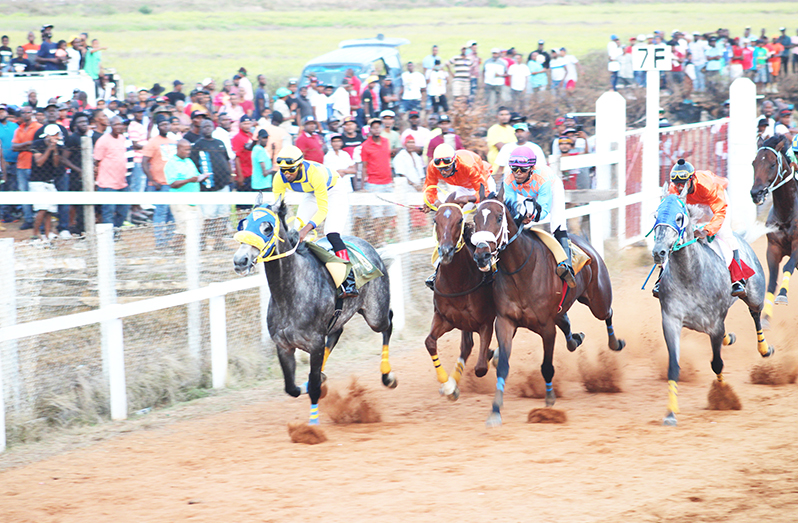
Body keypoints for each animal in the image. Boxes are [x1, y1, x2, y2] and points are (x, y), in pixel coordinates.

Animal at [233, 195, 398, 426]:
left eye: (267, 227)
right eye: (245, 223)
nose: (240, 260)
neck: (289, 293)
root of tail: (370, 246)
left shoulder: (315, 343)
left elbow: (312, 387)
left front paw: (312, 426)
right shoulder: (283, 346)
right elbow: (291, 388)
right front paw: (315, 381)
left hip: (375, 313)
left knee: (388, 323)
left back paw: (387, 376)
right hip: (338, 318)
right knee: (337, 333)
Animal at [424, 201, 494, 402]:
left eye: (460, 220)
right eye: (435, 220)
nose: (446, 251)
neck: (457, 283)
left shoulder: (486, 322)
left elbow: (481, 367)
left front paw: (490, 355)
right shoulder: (445, 319)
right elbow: (430, 342)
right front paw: (448, 385)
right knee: (466, 347)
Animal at [472, 186, 628, 428]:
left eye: (498, 217)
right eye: (474, 219)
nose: (481, 255)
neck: (521, 271)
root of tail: (585, 241)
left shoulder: (546, 327)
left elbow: (546, 366)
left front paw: (549, 401)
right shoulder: (506, 321)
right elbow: (503, 364)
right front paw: (495, 411)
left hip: (598, 299)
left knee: (607, 313)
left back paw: (615, 342)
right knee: (566, 322)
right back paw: (575, 339)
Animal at [652, 194, 780, 428]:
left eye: (679, 217)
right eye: (656, 215)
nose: (659, 252)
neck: (690, 274)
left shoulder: (714, 323)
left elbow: (717, 364)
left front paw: (723, 397)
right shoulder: (671, 319)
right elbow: (673, 366)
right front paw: (670, 413)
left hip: (754, 294)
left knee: (756, 315)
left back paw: (764, 348)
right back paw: (730, 338)